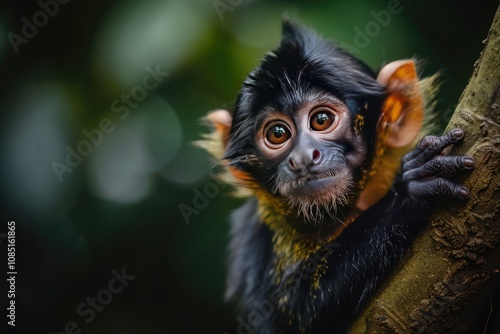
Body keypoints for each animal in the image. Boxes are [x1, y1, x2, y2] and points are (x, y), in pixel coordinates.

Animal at [198, 18, 472, 334]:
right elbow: (294, 313)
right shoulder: (259, 229)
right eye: (277, 133)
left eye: (321, 120)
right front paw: (410, 190)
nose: (304, 157)